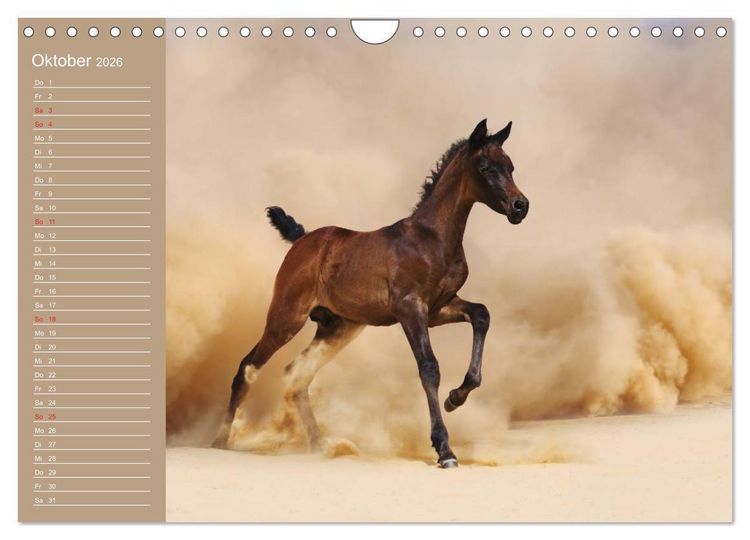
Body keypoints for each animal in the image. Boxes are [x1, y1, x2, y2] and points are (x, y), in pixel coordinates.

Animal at [212, 119, 529, 468]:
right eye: (485, 167)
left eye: (510, 166)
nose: (520, 206)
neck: (431, 238)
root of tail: (303, 239)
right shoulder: (410, 309)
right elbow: (429, 368)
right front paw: (444, 449)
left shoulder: (438, 309)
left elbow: (482, 314)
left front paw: (455, 398)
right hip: (286, 318)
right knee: (247, 368)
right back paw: (219, 441)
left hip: (337, 328)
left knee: (297, 375)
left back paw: (321, 445)